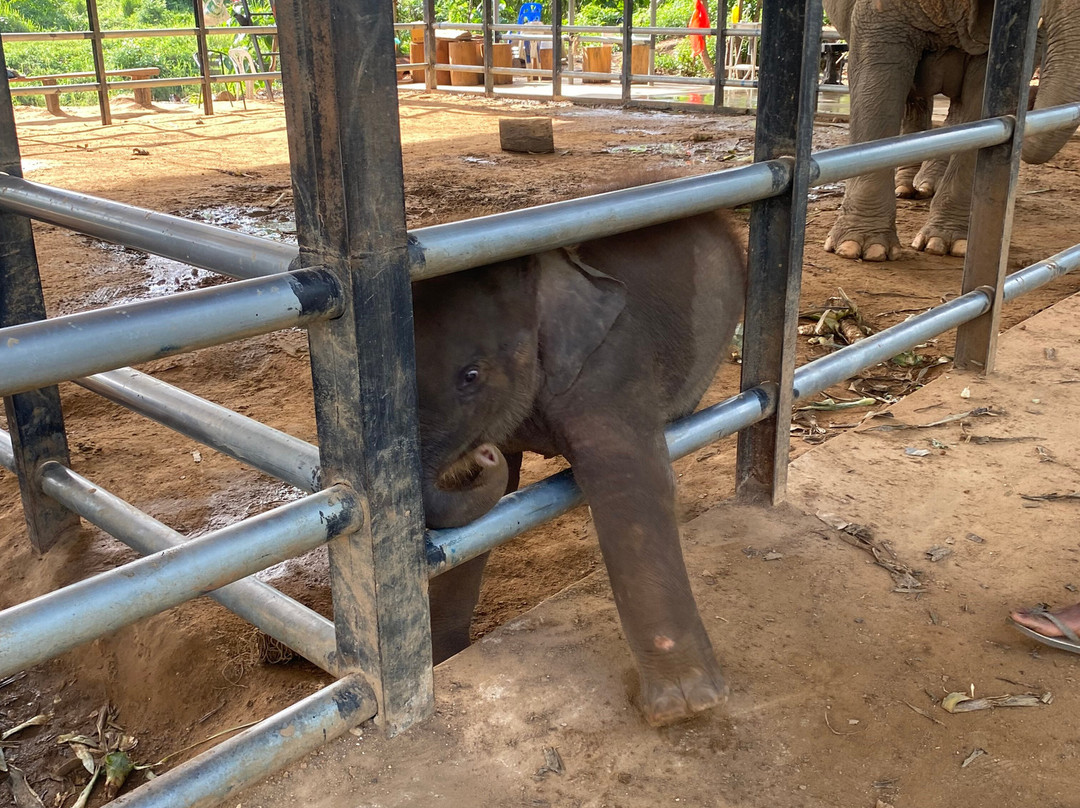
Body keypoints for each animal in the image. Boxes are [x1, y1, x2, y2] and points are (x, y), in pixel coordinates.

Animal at [412, 197, 746, 726]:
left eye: (471, 376)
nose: (482, 451)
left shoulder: (610, 367)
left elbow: (628, 482)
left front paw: (684, 709)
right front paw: (445, 662)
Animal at [822, 0, 1080, 261]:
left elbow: (981, 92)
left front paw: (946, 245)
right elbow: (879, 72)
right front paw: (861, 249)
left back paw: (928, 186)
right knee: (916, 98)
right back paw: (905, 188)